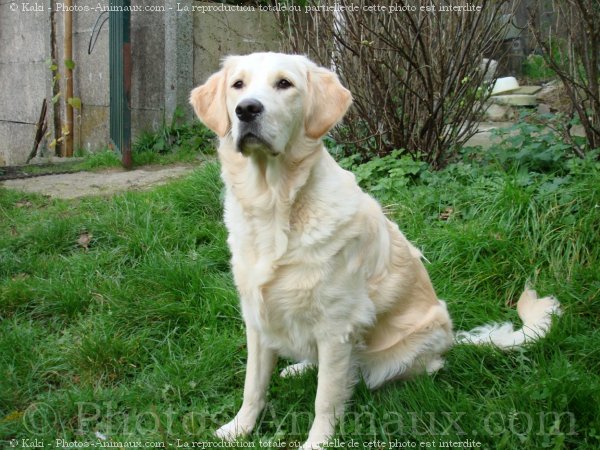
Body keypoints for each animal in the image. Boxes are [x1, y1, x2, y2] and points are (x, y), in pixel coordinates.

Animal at [189, 51, 564, 446]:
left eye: (284, 84)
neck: (275, 205)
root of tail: (452, 337)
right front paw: (238, 429)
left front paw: (317, 443)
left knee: (398, 369)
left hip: (403, 348)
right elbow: (253, 386)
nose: (247, 109)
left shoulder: (337, 327)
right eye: (238, 85)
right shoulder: (258, 319)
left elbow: (326, 399)